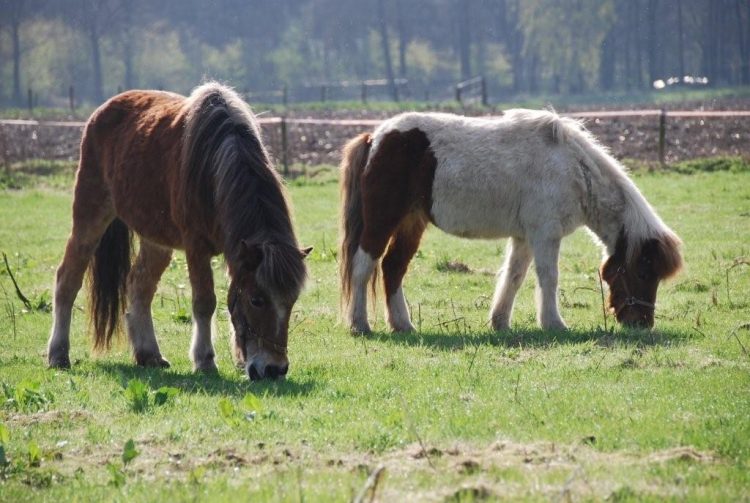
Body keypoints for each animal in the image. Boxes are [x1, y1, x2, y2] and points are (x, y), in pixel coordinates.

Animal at [47, 83, 312, 382]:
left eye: (291, 300)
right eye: (257, 300)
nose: (274, 369)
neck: (217, 166)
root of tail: (101, 112)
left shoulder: (235, 251)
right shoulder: (197, 247)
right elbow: (205, 302)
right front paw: (205, 361)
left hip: (156, 240)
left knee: (139, 286)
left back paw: (148, 353)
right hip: (90, 216)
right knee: (67, 279)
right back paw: (58, 354)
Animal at [344, 112, 684, 336]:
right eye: (643, 272)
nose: (642, 323)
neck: (573, 169)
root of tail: (375, 138)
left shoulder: (525, 238)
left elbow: (514, 277)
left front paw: (500, 322)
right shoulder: (545, 235)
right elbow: (548, 278)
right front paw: (554, 324)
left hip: (411, 223)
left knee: (393, 268)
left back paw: (403, 325)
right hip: (382, 221)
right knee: (364, 267)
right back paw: (360, 324)